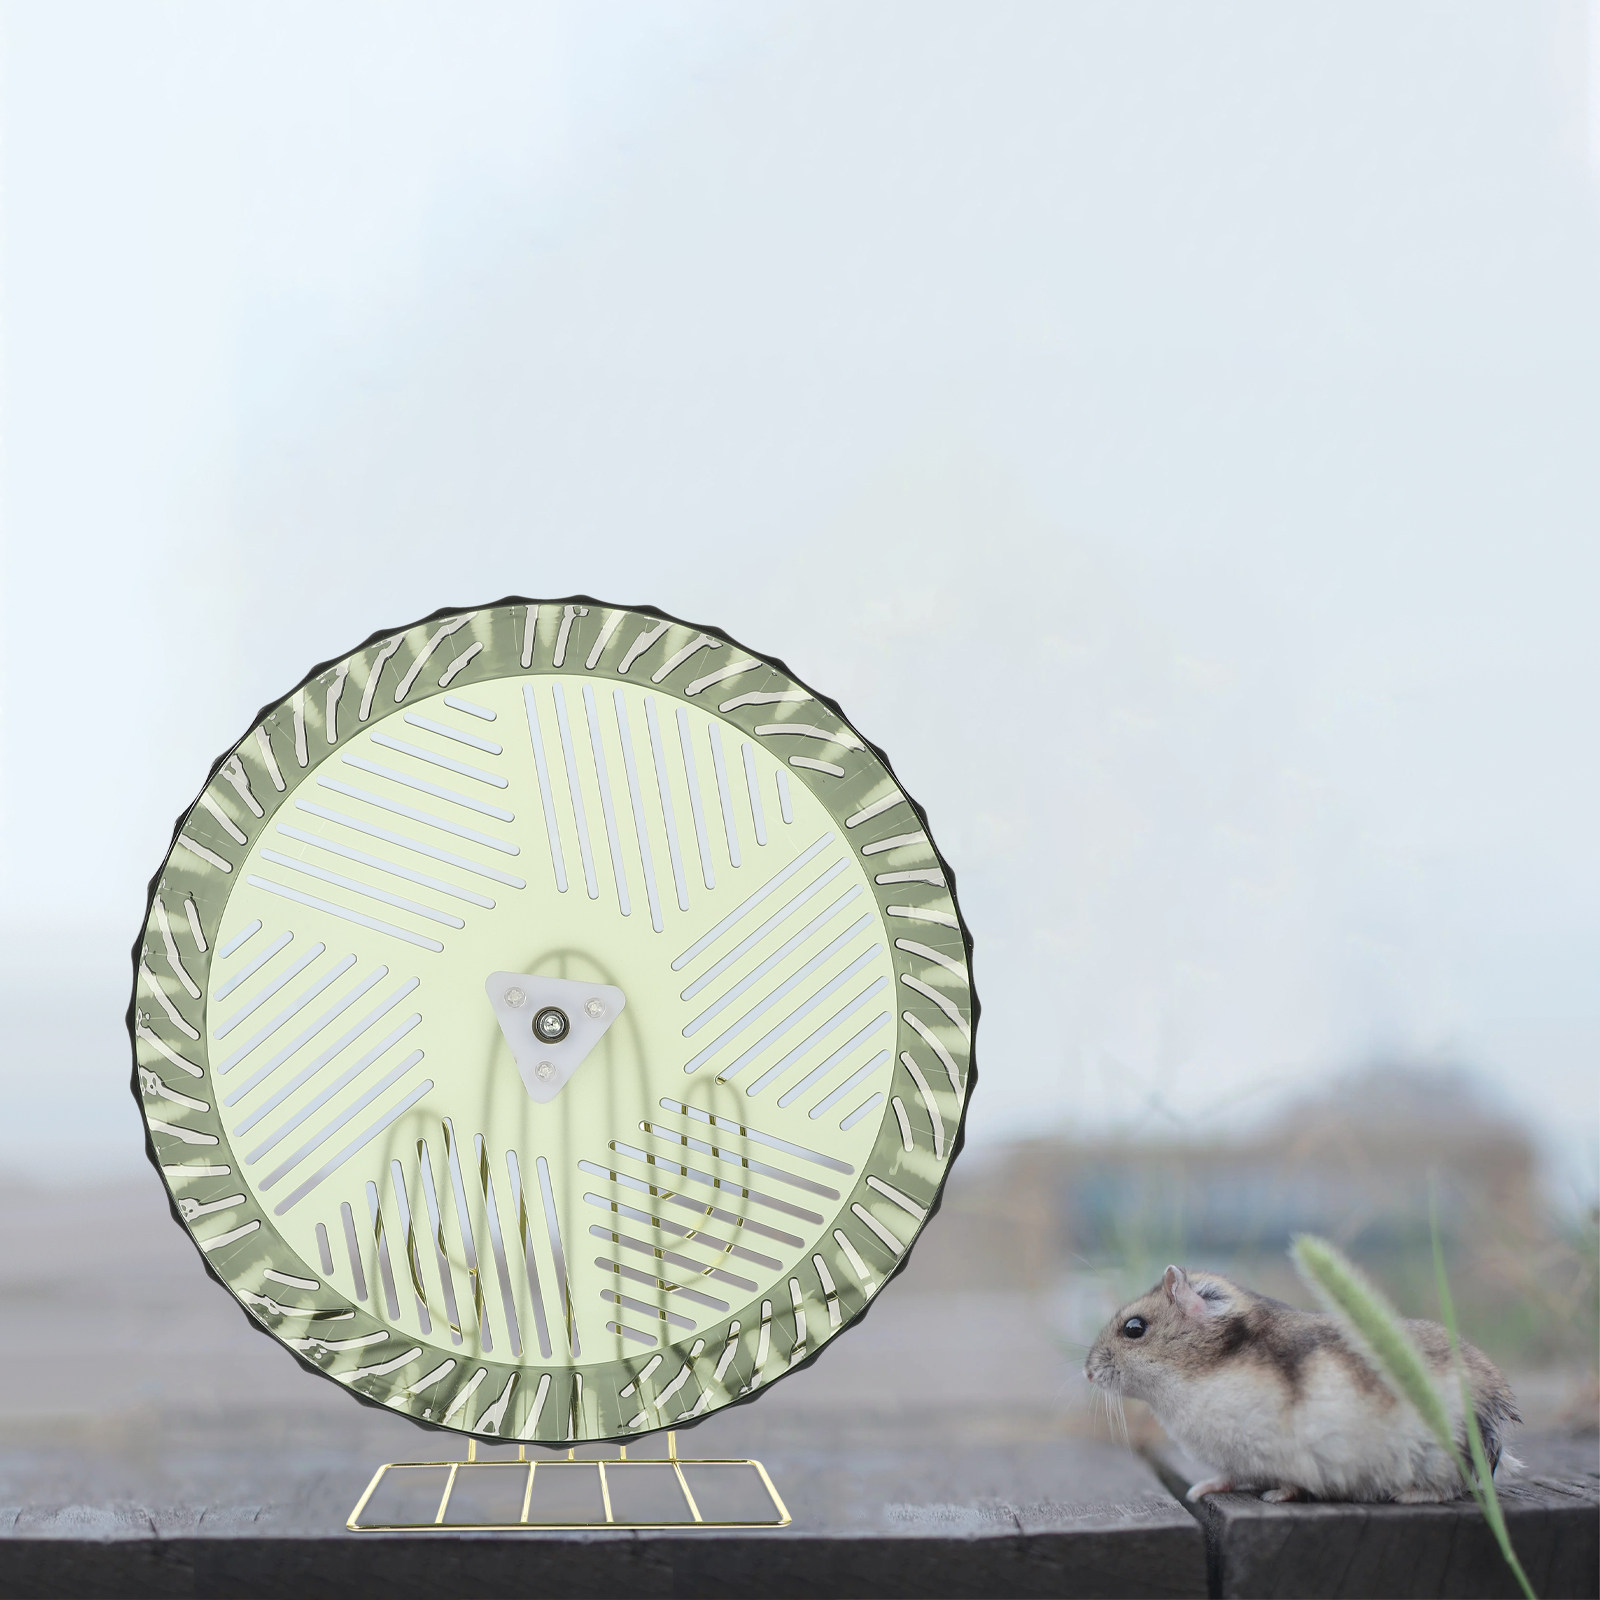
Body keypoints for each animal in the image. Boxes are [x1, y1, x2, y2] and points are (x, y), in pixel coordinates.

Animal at [1084, 1265, 1520, 1504]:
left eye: (1134, 1328)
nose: (1087, 1372)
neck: (1199, 1373)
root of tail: (1495, 1410)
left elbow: (1289, 1482)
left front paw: (1274, 1496)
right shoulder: (1234, 1460)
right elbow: (1226, 1476)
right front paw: (1198, 1490)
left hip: (1441, 1457)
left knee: (1452, 1487)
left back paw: (1406, 1495)